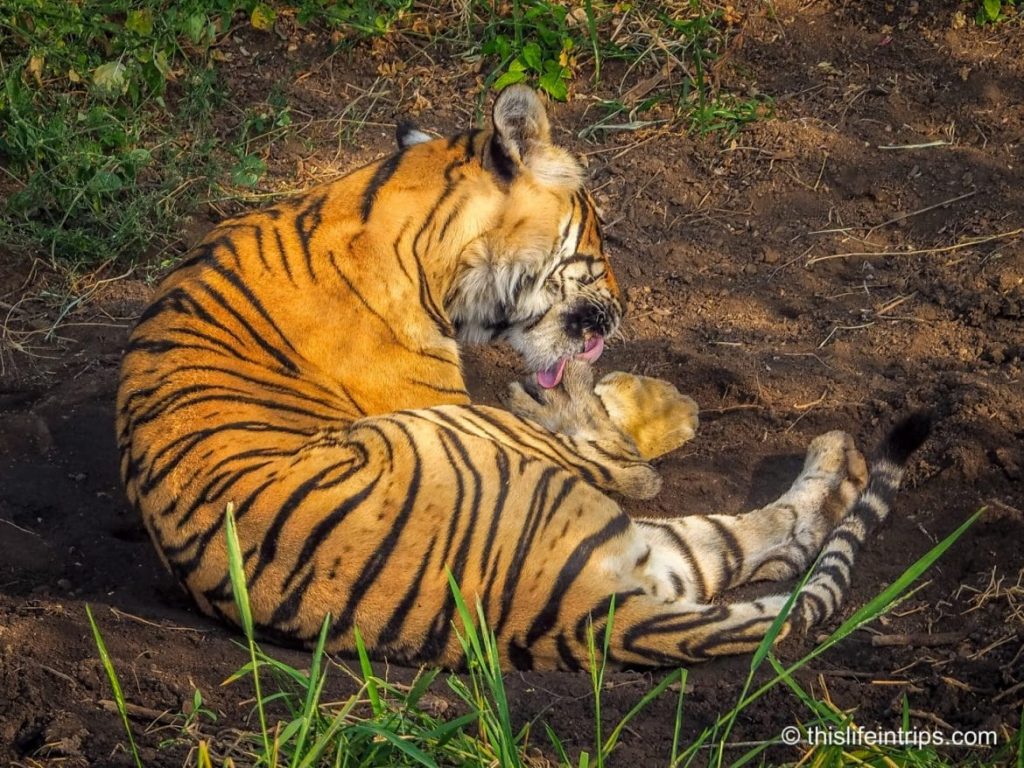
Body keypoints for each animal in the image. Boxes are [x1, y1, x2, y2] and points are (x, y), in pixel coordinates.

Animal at [116, 84, 930, 670]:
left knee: (748, 540)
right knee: (640, 479)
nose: (624, 307)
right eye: (600, 235)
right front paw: (638, 399)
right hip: (466, 437)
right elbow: (621, 450)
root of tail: (585, 617)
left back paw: (836, 459)